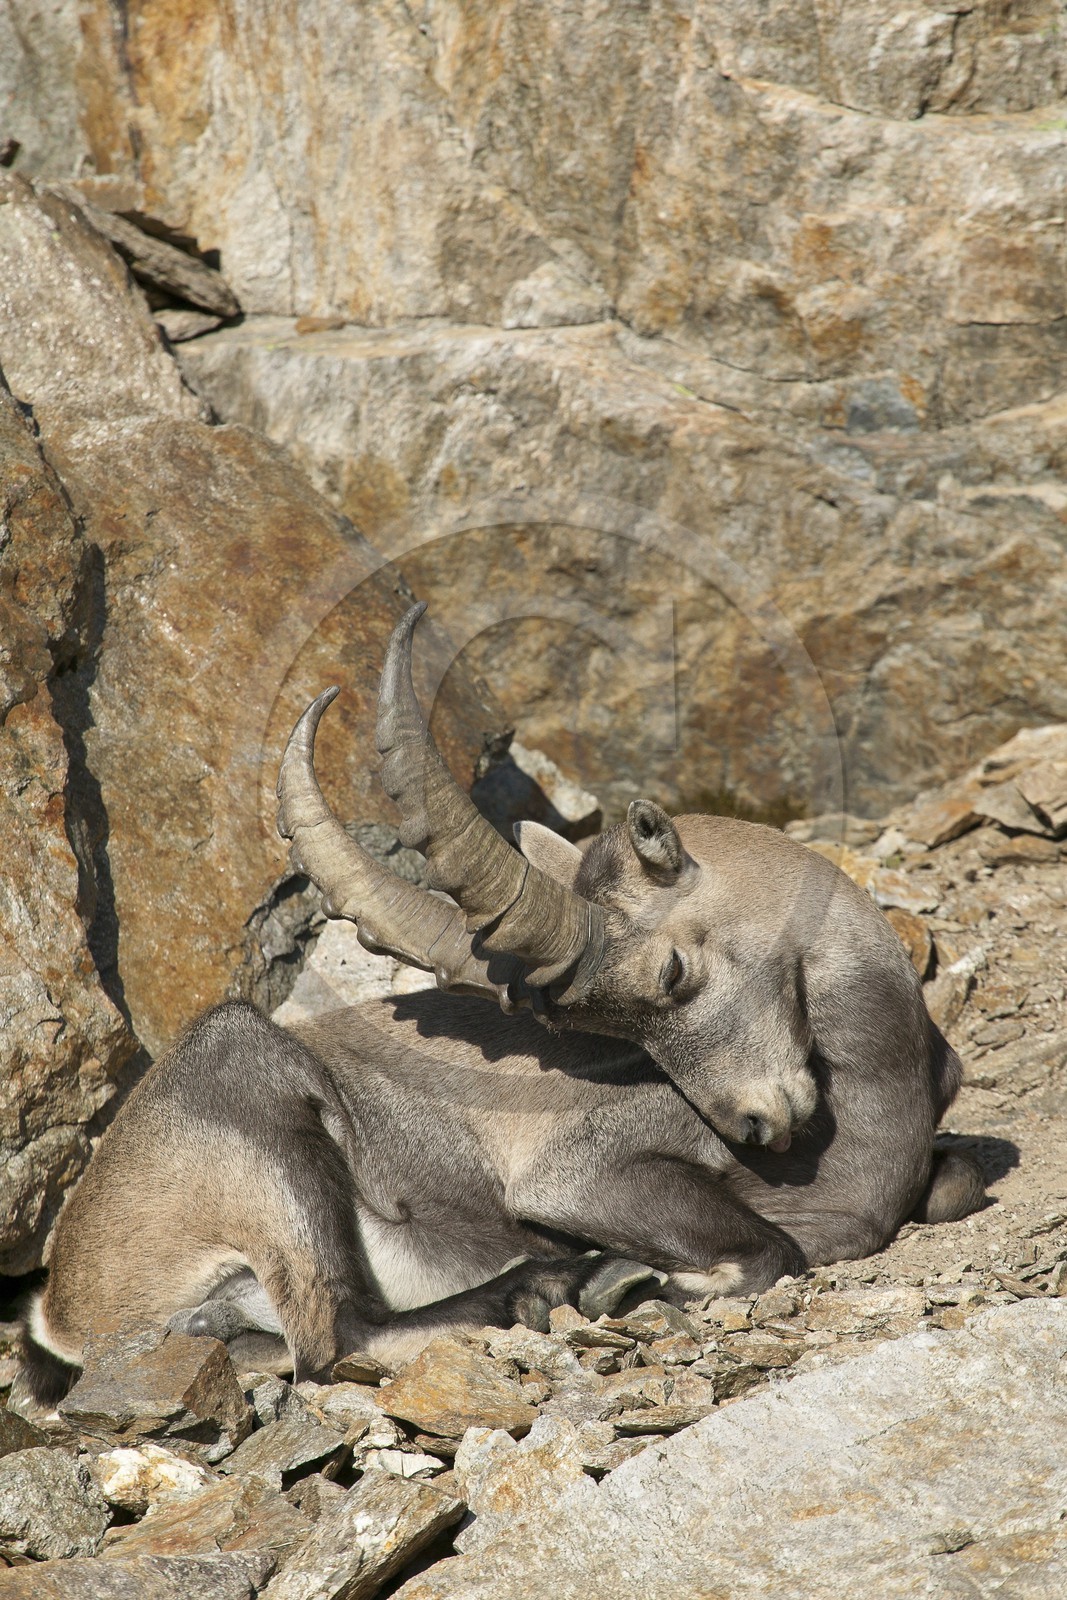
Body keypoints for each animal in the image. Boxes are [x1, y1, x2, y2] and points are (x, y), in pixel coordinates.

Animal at [22, 605, 984, 1402]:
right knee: (337, 1340)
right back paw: (561, 1284)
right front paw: (640, 1281)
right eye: (664, 980)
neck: (884, 1080)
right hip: (263, 1116)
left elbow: (954, 1185)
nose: (754, 1126)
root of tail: (64, 1309)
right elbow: (769, 1248)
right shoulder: (576, 1177)